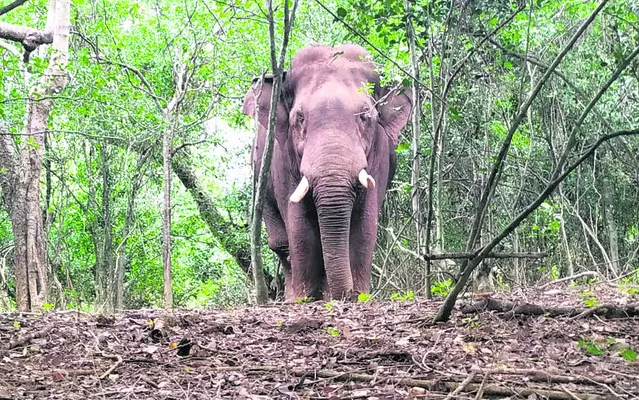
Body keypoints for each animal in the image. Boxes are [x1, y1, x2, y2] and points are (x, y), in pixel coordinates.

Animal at [241, 43, 416, 300]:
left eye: (366, 116)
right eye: (299, 118)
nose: (345, 294)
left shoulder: (380, 155)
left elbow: (365, 222)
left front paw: (359, 296)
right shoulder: (281, 160)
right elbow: (298, 223)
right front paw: (303, 299)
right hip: (259, 176)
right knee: (280, 243)